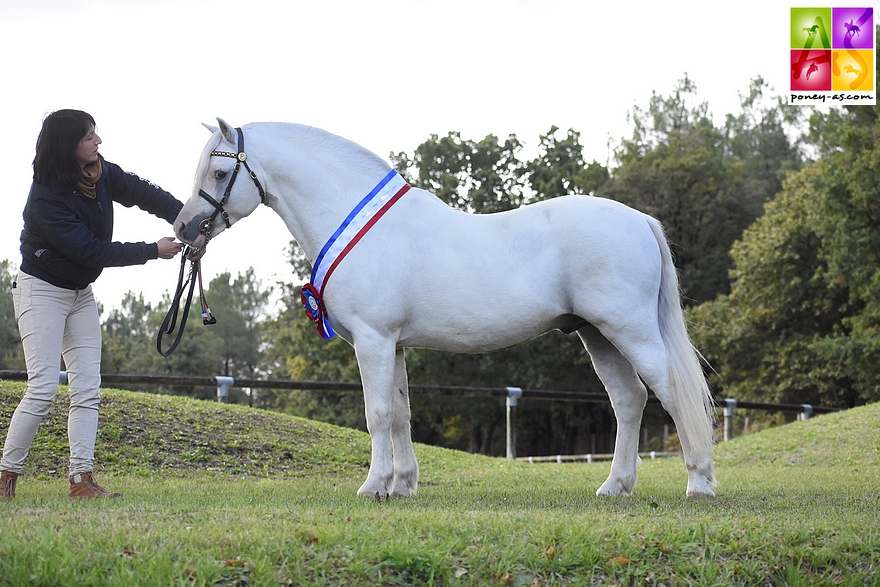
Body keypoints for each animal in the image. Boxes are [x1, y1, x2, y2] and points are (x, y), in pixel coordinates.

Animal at [175, 119, 720, 500]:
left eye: (220, 172)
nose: (183, 228)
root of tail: (639, 219)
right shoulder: (392, 345)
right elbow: (400, 413)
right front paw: (402, 485)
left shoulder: (373, 340)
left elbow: (377, 413)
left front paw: (372, 486)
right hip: (595, 334)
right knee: (629, 400)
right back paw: (615, 487)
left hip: (629, 330)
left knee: (671, 393)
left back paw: (699, 483)